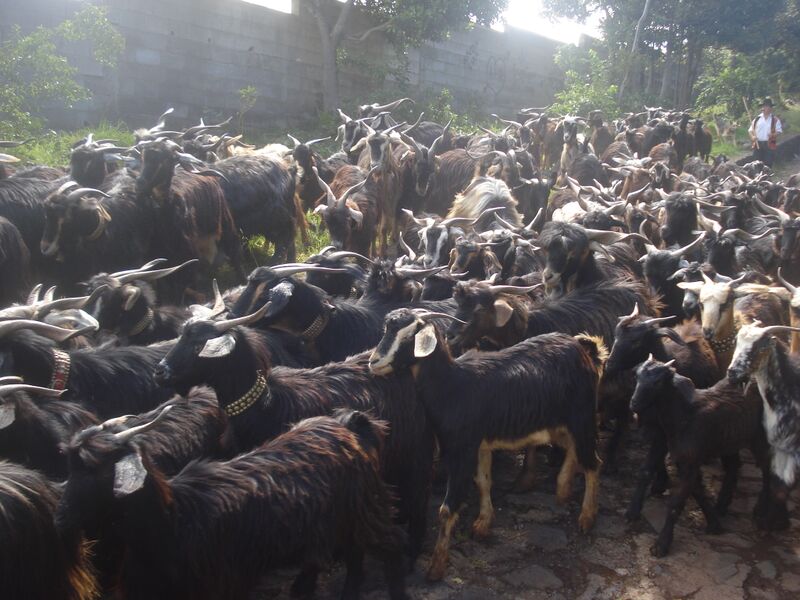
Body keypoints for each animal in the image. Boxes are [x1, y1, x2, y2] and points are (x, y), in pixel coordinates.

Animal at [369, 309, 604, 580]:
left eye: (409, 337)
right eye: (386, 329)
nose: (374, 362)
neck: (453, 385)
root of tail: (584, 350)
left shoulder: (462, 448)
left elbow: (447, 509)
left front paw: (436, 567)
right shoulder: (480, 445)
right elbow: (483, 481)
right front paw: (483, 523)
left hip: (581, 414)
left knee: (593, 461)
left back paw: (587, 517)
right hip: (558, 422)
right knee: (574, 449)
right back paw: (563, 487)